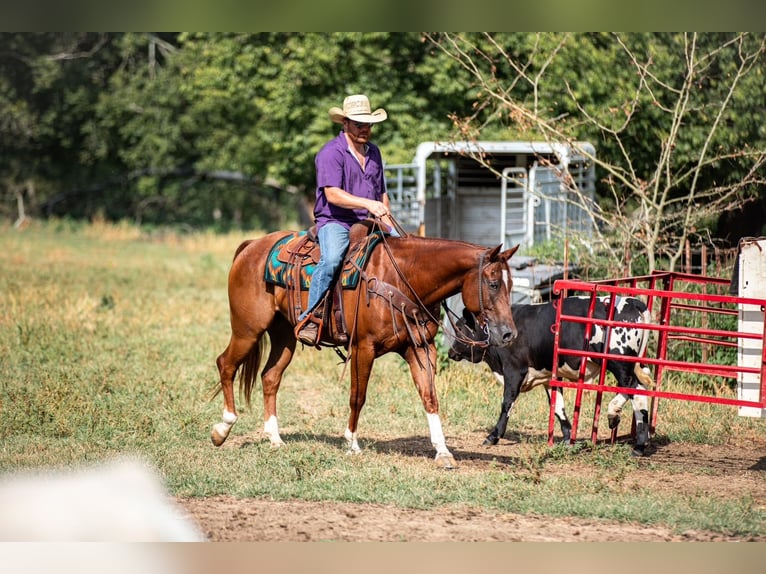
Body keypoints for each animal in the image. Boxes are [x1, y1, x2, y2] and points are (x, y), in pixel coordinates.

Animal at [210, 220, 520, 468]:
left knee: (270, 377)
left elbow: (430, 396)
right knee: (225, 364)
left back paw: (274, 438)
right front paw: (352, 443)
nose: (508, 334)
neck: (402, 277)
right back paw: (223, 428)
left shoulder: (420, 348)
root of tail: (251, 246)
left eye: (511, 284)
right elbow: (357, 396)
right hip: (248, 330)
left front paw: (442, 451)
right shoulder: (363, 347)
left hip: (284, 335)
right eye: (493, 284)